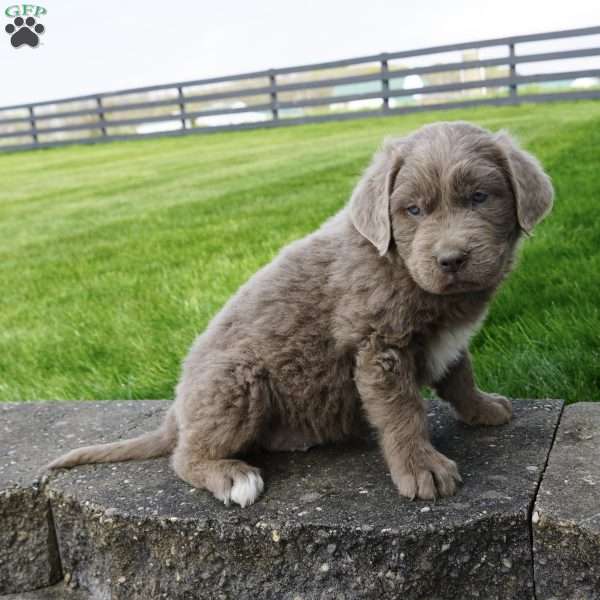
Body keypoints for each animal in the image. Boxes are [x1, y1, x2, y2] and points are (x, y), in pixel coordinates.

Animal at [49, 122, 556, 506]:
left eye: (479, 198)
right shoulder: (379, 346)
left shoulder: (444, 340)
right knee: (184, 456)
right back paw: (231, 476)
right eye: (413, 210)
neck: (400, 268)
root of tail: (176, 409)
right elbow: (402, 413)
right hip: (235, 381)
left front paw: (484, 408)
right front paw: (421, 468)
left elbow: (459, 373)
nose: (451, 259)